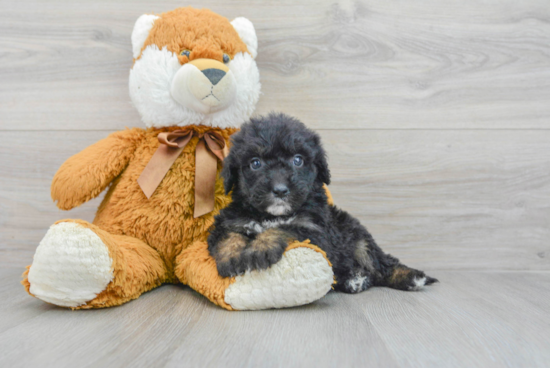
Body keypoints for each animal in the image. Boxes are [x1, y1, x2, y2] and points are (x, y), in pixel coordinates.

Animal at [208, 113, 440, 292]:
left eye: (298, 160)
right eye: (255, 163)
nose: (280, 190)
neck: (270, 215)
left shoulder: (316, 231)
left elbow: (285, 228)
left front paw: (260, 248)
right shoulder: (229, 221)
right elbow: (228, 235)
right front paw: (231, 258)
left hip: (358, 238)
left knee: (381, 265)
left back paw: (411, 277)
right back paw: (353, 280)